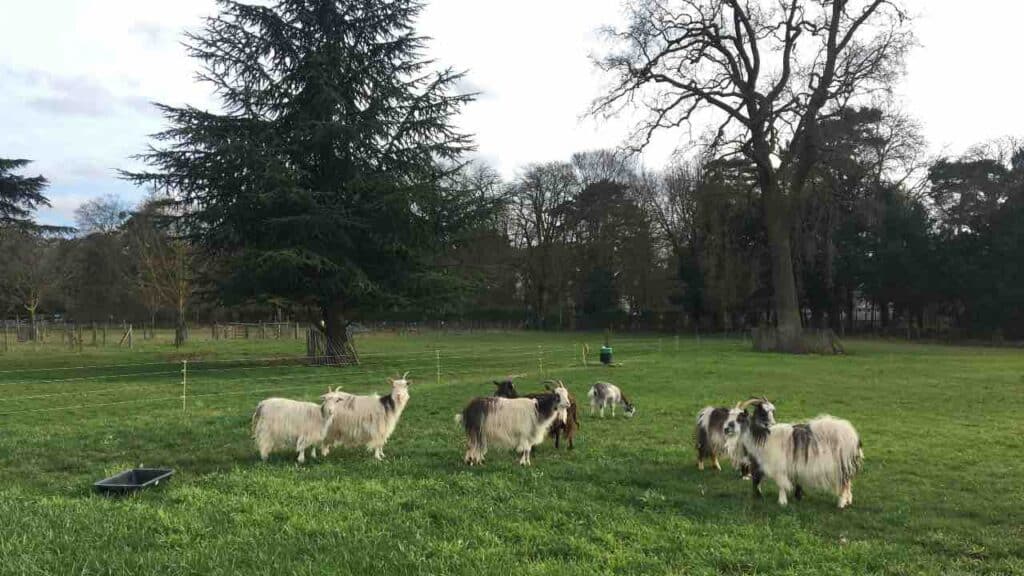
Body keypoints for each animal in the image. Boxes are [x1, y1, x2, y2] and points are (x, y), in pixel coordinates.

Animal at [720, 399, 864, 506]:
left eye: (740, 418)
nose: (726, 429)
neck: (764, 437)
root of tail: (853, 436)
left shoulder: (779, 466)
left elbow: (781, 483)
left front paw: (782, 502)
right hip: (845, 465)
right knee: (848, 482)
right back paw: (848, 501)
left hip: (840, 465)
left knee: (844, 483)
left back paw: (841, 503)